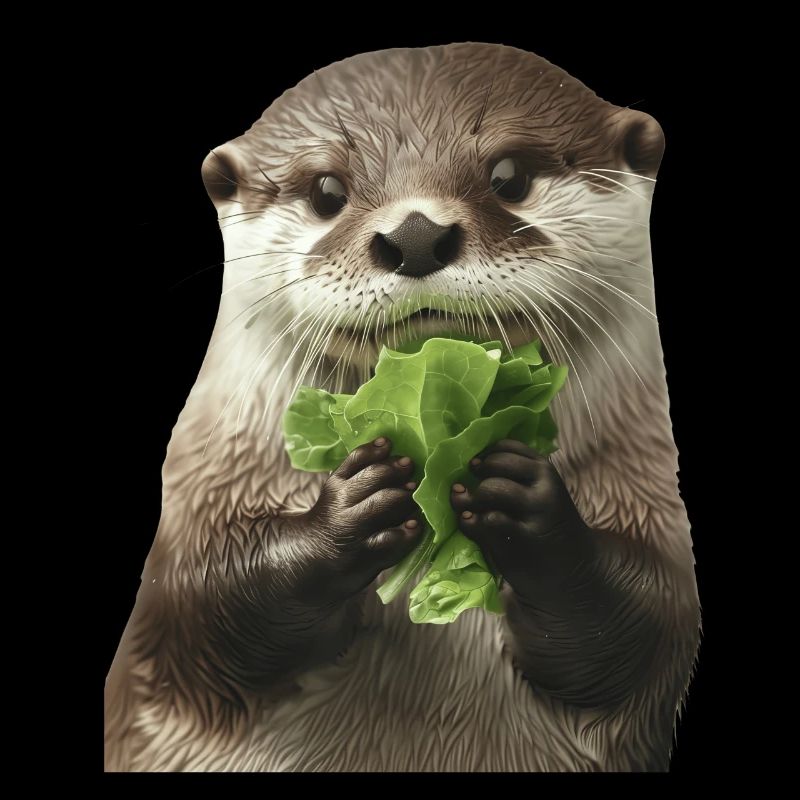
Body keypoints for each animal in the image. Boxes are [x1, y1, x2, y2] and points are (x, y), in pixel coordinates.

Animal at [104, 43, 700, 772]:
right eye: (327, 191)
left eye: (508, 175)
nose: (415, 235)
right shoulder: (201, 505)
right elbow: (196, 606)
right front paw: (357, 501)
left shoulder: (647, 497)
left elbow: (646, 621)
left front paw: (520, 497)